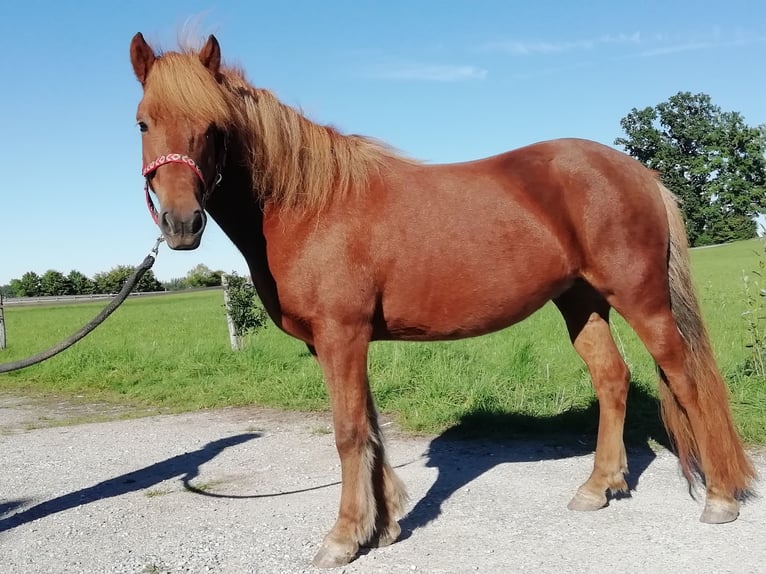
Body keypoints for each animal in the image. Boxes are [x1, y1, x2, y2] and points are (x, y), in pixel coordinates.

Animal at [129, 33, 756, 568]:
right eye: (142, 122)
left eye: (214, 126)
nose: (182, 223)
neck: (310, 205)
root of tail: (639, 172)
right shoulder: (344, 342)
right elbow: (370, 428)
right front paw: (382, 527)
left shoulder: (341, 335)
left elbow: (348, 432)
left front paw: (343, 538)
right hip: (580, 302)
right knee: (612, 379)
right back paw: (598, 487)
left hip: (640, 298)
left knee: (684, 377)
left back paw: (720, 499)